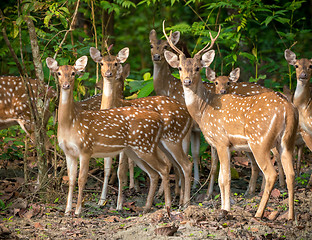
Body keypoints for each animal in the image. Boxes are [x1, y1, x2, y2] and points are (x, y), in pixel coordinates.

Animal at [47, 56, 172, 216]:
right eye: (59, 73)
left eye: (74, 73)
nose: (66, 85)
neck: (70, 123)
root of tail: (160, 119)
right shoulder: (69, 152)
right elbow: (71, 180)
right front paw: (67, 210)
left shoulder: (86, 148)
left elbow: (81, 179)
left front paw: (78, 210)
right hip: (135, 150)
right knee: (154, 173)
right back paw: (147, 207)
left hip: (145, 146)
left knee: (163, 168)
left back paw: (167, 207)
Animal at [89, 46, 194, 208]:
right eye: (101, 63)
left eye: (116, 63)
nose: (108, 73)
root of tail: (188, 115)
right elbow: (107, 169)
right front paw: (101, 201)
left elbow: (120, 170)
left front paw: (119, 204)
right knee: (178, 164)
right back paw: (178, 198)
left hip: (172, 138)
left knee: (183, 164)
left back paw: (181, 202)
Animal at [163, 22, 298, 219]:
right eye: (180, 68)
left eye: (197, 68)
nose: (187, 81)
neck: (204, 110)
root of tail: (288, 109)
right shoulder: (225, 145)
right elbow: (220, 178)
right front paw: (224, 208)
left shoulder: (221, 140)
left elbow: (225, 178)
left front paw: (225, 210)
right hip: (286, 141)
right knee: (291, 173)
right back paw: (290, 216)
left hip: (260, 140)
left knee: (270, 173)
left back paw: (258, 213)